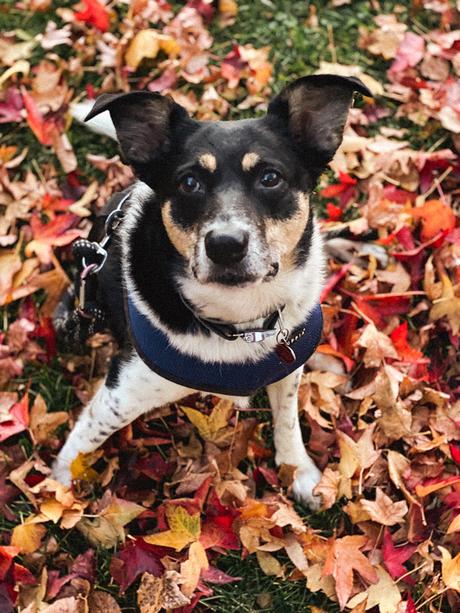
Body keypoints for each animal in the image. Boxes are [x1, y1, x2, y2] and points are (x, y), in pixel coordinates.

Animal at [53, 75, 370, 506]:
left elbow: (288, 421)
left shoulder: (287, 368)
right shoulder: (120, 393)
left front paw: (299, 471)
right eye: (189, 182)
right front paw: (54, 491)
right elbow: (81, 444)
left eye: (270, 178)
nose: (225, 245)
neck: (239, 321)